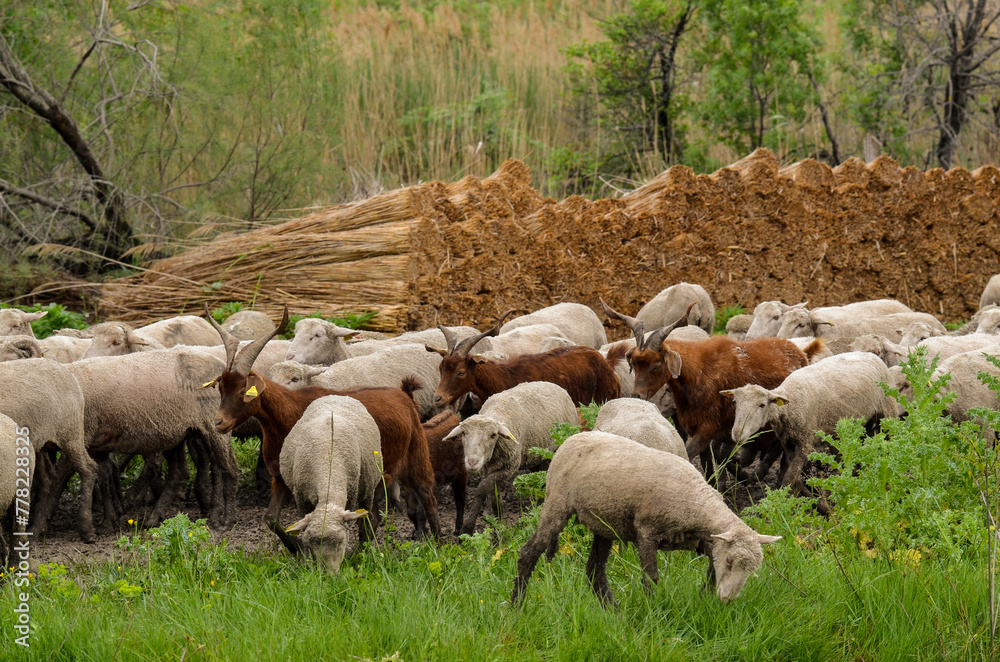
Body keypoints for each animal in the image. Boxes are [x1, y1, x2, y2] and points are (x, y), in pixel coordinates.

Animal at [0, 358, 97, 542]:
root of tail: (66, 371)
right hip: (40, 443)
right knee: (49, 481)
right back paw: (36, 530)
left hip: (70, 432)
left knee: (88, 469)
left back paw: (86, 529)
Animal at [280, 395, 380, 572]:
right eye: (312, 544)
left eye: (341, 542)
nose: (329, 575)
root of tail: (336, 395)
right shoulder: (301, 498)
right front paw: (307, 562)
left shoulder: (351, 495)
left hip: (368, 490)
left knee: (364, 522)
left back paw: (363, 550)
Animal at [442, 381, 578, 535]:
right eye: (464, 433)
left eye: (493, 435)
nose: (472, 462)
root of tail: (552, 384)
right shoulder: (489, 469)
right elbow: (493, 492)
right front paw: (497, 518)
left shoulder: (509, 467)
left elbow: (482, 489)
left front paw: (468, 528)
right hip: (539, 455)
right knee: (541, 477)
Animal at [511, 431, 781, 607]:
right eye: (730, 560)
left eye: (753, 569)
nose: (727, 600)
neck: (695, 501)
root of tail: (571, 439)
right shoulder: (647, 532)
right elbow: (650, 578)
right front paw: (652, 611)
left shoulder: (696, 540)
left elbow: (711, 570)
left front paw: (704, 598)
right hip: (557, 503)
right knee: (529, 552)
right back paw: (516, 606)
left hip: (605, 523)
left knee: (594, 571)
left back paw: (614, 612)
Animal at [725, 352, 898, 512]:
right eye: (735, 402)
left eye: (762, 405)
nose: (737, 433)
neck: (790, 405)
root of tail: (870, 354)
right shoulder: (789, 443)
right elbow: (799, 477)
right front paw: (817, 501)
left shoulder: (806, 441)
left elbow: (789, 478)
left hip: (887, 411)